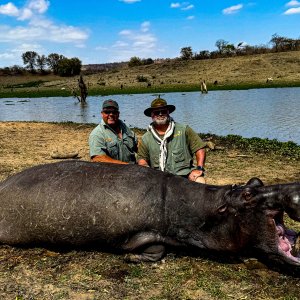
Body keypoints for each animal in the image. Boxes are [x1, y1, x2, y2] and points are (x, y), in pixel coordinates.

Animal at [0, 161, 300, 268]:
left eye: (257, 181)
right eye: (248, 195)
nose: (294, 187)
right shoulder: (143, 233)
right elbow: (156, 248)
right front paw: (133, 258)